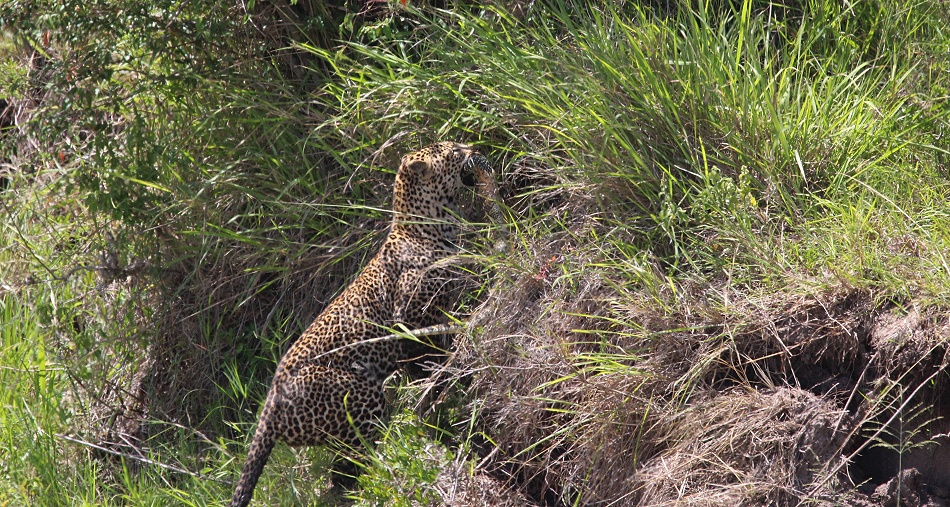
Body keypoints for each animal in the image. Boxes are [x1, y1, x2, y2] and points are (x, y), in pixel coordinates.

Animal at [228, 142, 502, 507]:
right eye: (454, 152)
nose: (474, 148)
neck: (433, 224)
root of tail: (269, 407)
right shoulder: (410, 315)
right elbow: (423, 356)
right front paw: (437, 377)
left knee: (341, 473)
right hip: (357, 397)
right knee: (356, 463)